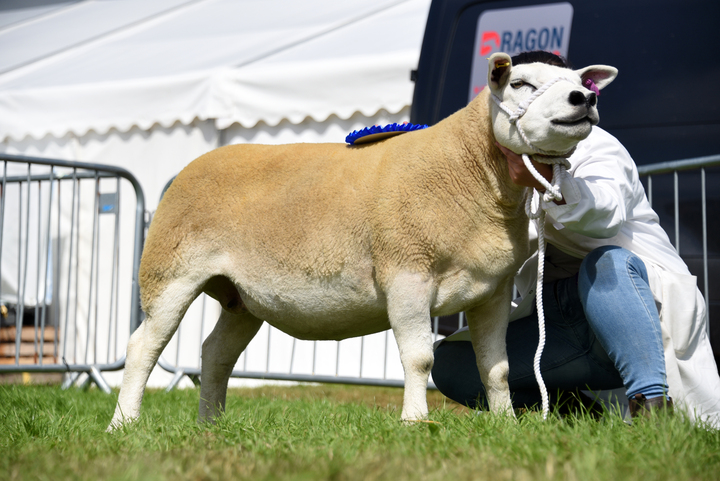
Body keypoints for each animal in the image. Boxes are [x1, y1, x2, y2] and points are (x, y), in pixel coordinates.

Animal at [109, 53, 616, 432]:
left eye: (579, 81)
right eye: (522, 84)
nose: (585, 98)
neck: (466, 170)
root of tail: (195, 165)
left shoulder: (492, 290)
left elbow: (497, 366)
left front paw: (506, 423)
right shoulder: (407, 272)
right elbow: (418, 358)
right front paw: (415, 423)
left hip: (242, 298)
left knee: (215, 354)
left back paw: (209, 426)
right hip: (170, 272)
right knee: (143, 347)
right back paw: (124, 424)